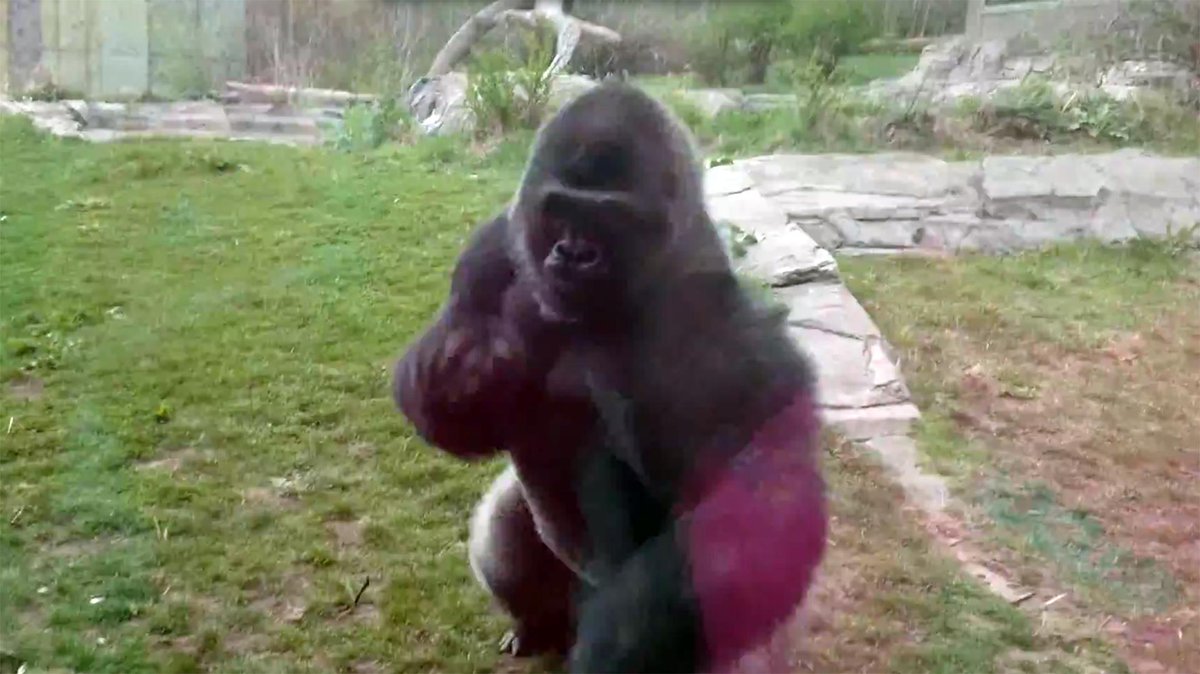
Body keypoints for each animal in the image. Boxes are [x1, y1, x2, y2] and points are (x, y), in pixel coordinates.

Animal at [392, 81, 827, 673]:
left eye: (608, 219)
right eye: (559, 211)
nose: (573, 254)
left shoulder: (710, 307)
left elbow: (758, 494)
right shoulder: (493, 242)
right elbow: (458, 410)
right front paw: (460, 370)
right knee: (500, 530)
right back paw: (534, 624)